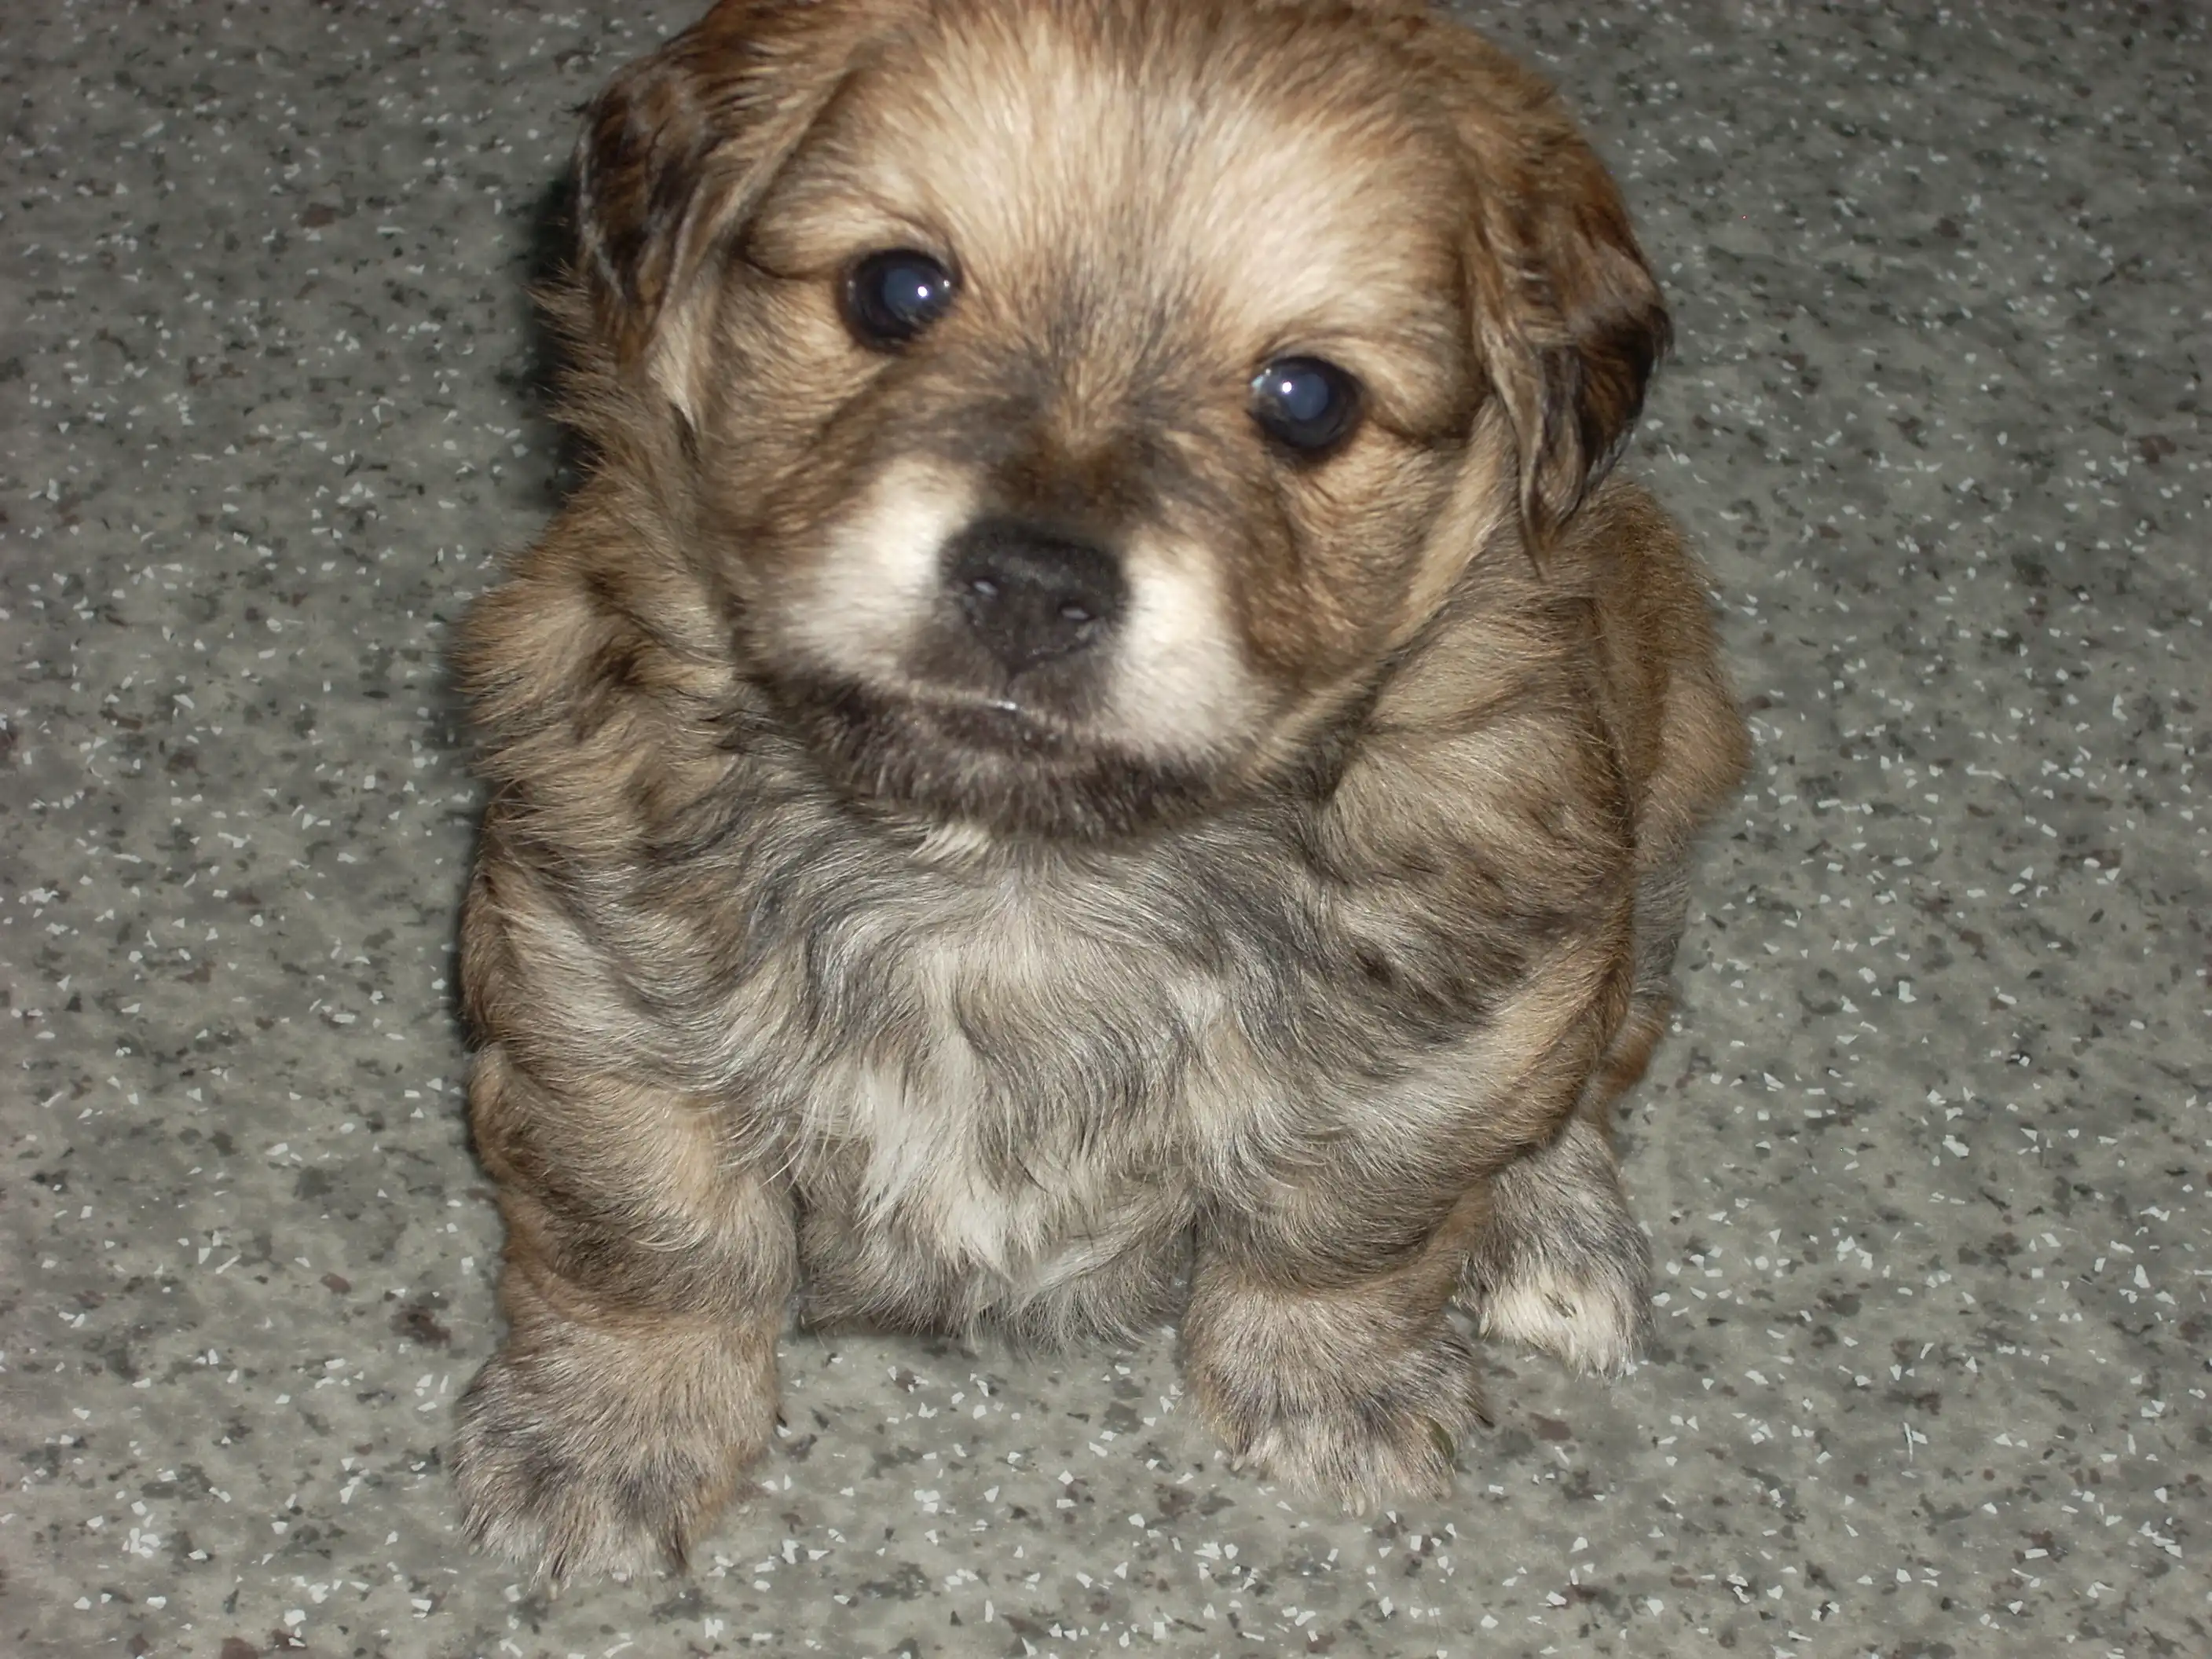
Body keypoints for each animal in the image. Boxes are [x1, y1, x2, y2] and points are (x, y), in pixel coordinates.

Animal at [449, 0, 1748, 1580]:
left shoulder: (1475, 1002)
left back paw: (1556, 1232)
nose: (1032, 581)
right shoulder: (591, 980)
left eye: (1306, 400)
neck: (1016, 869)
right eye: (898, 290)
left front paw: (1333, 1386)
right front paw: (608, 1437)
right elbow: (646, 1236)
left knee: (1605, 1057)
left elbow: (1354, 1216)